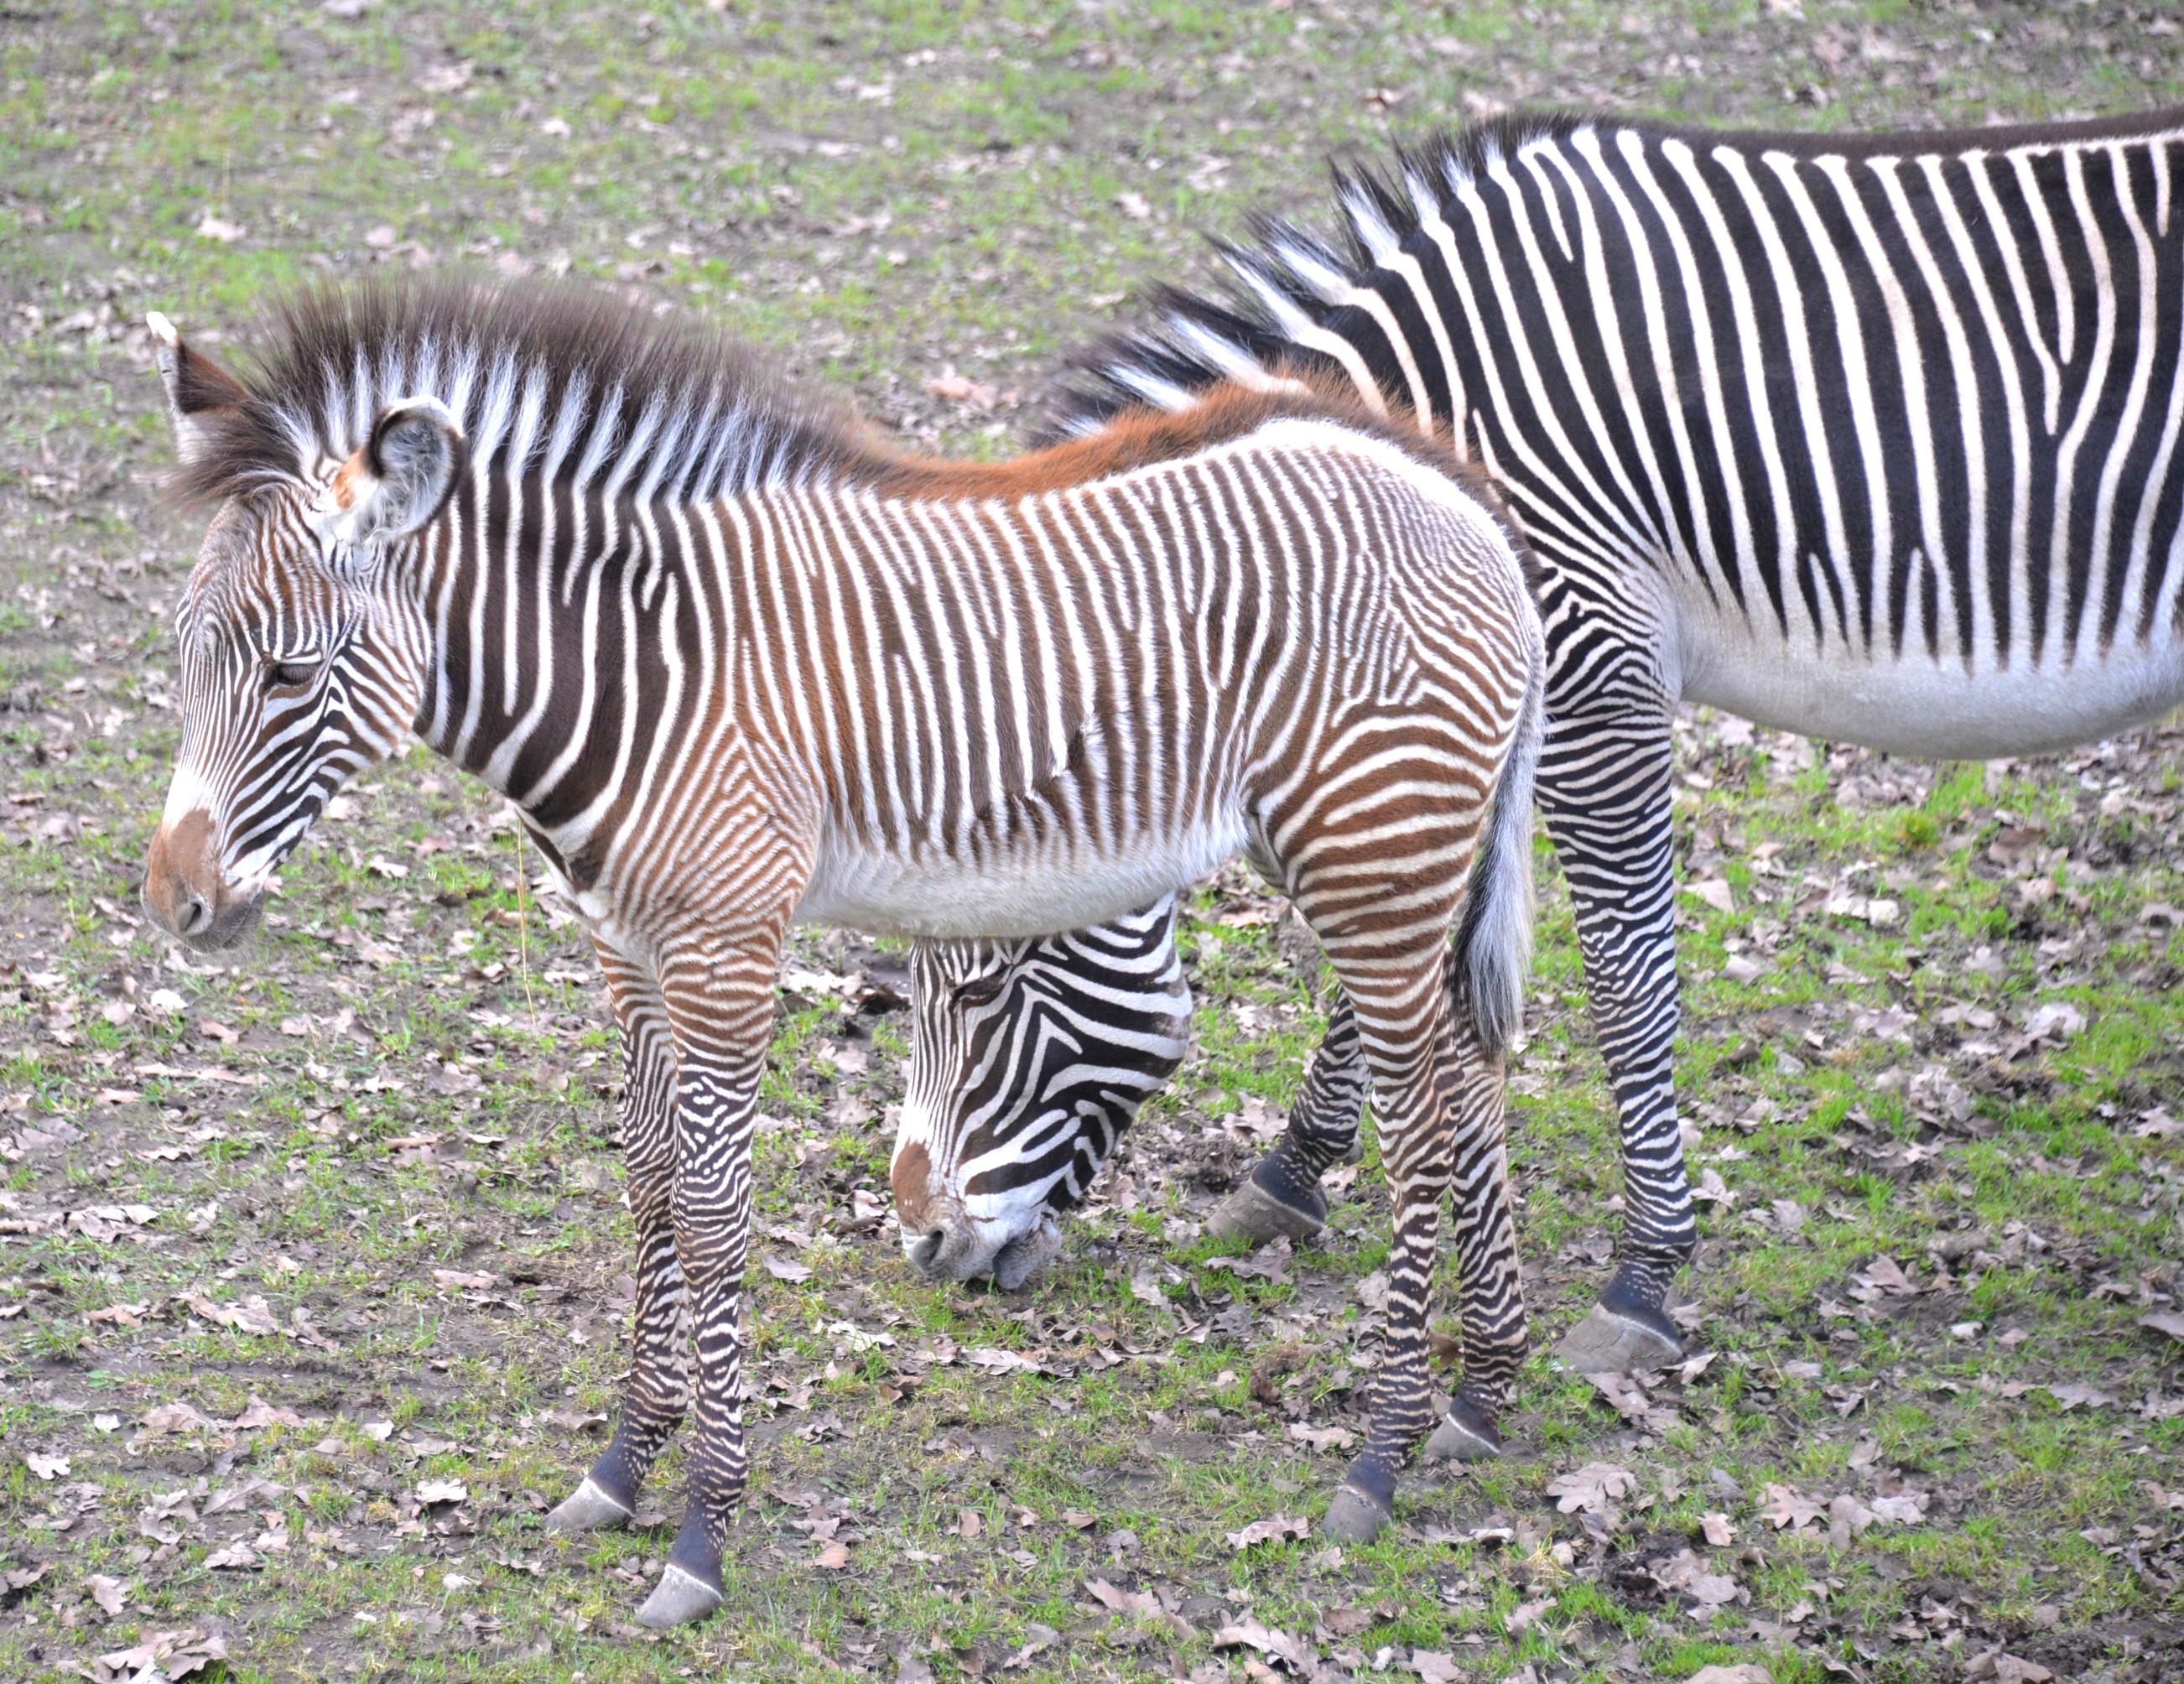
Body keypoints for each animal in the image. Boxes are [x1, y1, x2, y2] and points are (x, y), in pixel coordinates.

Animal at [134, 277, 1547, 1620]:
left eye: (288, 674)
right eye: (187, 657)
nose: (174, 901)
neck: (648, 678)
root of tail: (1456, 491)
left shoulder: (726, 945)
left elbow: (712, 1219)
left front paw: (700, 1539)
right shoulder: (624, 947)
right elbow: (649, 1190)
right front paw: (619, 1472)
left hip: (1372, 850)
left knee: (1424, 1131)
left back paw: (1379, 1461)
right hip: (1399, 860)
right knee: (1474, 1078)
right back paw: (1481, 1397)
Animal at [889, 107, 2184, 1374]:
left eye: (982, 987)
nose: (926, 1248)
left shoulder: (1586, 669)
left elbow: (1625, 975)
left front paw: (1645, 1275)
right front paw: (1287, 1178)